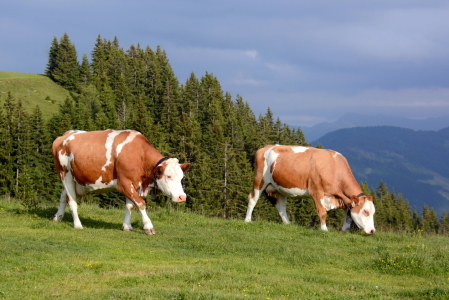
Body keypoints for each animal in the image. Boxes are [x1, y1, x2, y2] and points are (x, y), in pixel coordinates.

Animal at [51, 129, 190, 234]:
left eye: (181, 177)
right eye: (168, 176)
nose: (182, 197)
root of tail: (65, 135)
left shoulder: (133, 183)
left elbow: (130, 205)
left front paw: (127, 226)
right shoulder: (124, 183)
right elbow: (140, 203)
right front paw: (148, 227)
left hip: (72, 179)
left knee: (63, 197)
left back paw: (57, 217)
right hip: (65, 174)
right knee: (72, 201)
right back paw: (77, 224)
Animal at [245, 145, 374, 234]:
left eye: (373, 212)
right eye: (365, 211)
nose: (373, 231)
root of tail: (266, 147)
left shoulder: (344, 198)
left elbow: (348, 216)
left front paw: (343, 230)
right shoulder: (316, 191)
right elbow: (322, 212)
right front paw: (324, 230)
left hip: (281, 187)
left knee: (280, 206)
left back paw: (288, 223)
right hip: (259, 180)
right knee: (252, 199)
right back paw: (247, 220)